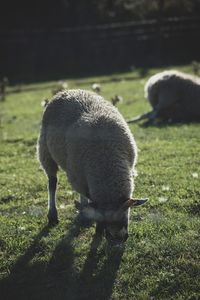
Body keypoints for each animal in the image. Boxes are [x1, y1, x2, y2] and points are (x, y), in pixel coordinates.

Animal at [37, 88, 147, 244]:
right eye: (106, 219)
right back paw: (53, 215)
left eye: (126, 213)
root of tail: (67, 91)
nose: (120, 238)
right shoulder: (78, 175)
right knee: (52, 183)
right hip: (45, 152)